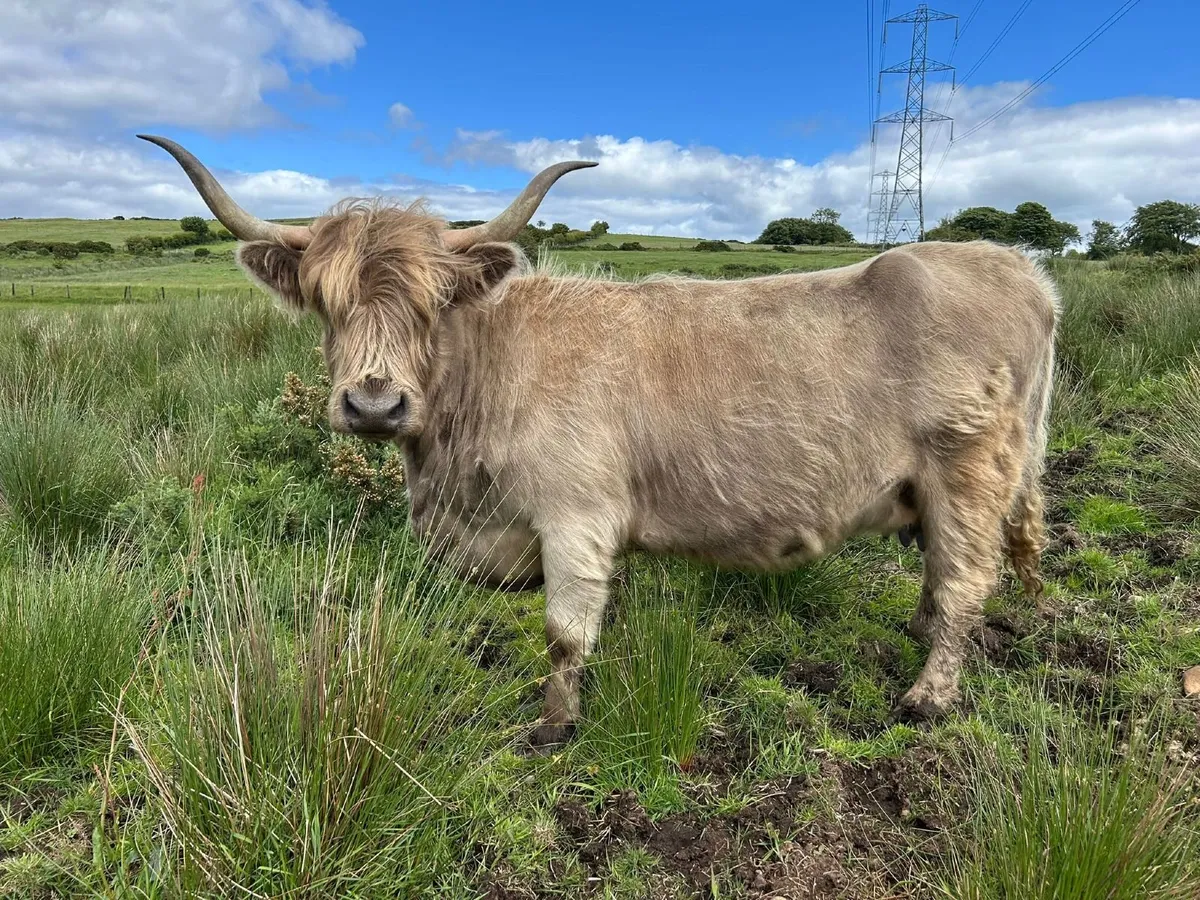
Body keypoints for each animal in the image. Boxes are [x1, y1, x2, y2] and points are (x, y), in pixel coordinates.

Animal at [141, 134, 1056, 748]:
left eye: (433, 306)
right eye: (327, 305)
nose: (373, 404)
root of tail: (1015, 265)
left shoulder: (575, 518)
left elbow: (564, 633)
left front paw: (554, 725)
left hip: (970, 472)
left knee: (966, 582)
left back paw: (928, 696)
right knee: (943, 575)